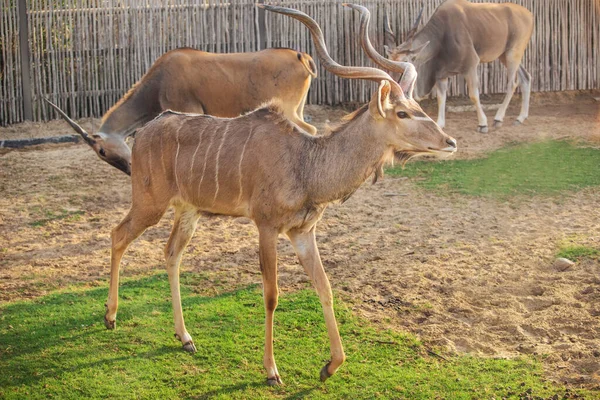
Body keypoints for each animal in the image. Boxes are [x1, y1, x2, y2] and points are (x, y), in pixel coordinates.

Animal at [45, 47, 318, 175]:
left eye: (102, 151)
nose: (131, 169)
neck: (158, 81)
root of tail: (300, 56)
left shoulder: (189, 111)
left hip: (289, 111)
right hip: (296, 109)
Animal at [382, 0, 532, 134]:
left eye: (406, 61)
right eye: (388, 61)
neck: (442, 34)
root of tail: (528, 14)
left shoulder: (471, 65)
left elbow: (473, 95)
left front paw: (483, 124)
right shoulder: (441, 75)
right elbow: (441, 97)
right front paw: (440, 124)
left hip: (513, 53)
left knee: (512, 83)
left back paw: (498, 118)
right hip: (504, 55)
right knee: (525, 77)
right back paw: (520, 118)